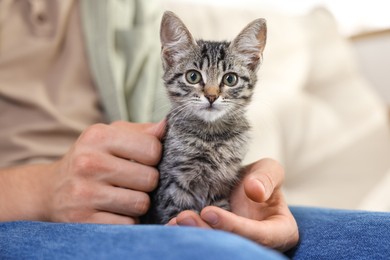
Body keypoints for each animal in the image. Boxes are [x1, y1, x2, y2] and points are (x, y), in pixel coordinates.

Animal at [145, 11, 266, 223]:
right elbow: (176, 211)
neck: (211, 136)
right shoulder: (173, 182)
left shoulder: (221, 184)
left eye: (230, 79)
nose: (211, 96)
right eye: (192, 76)